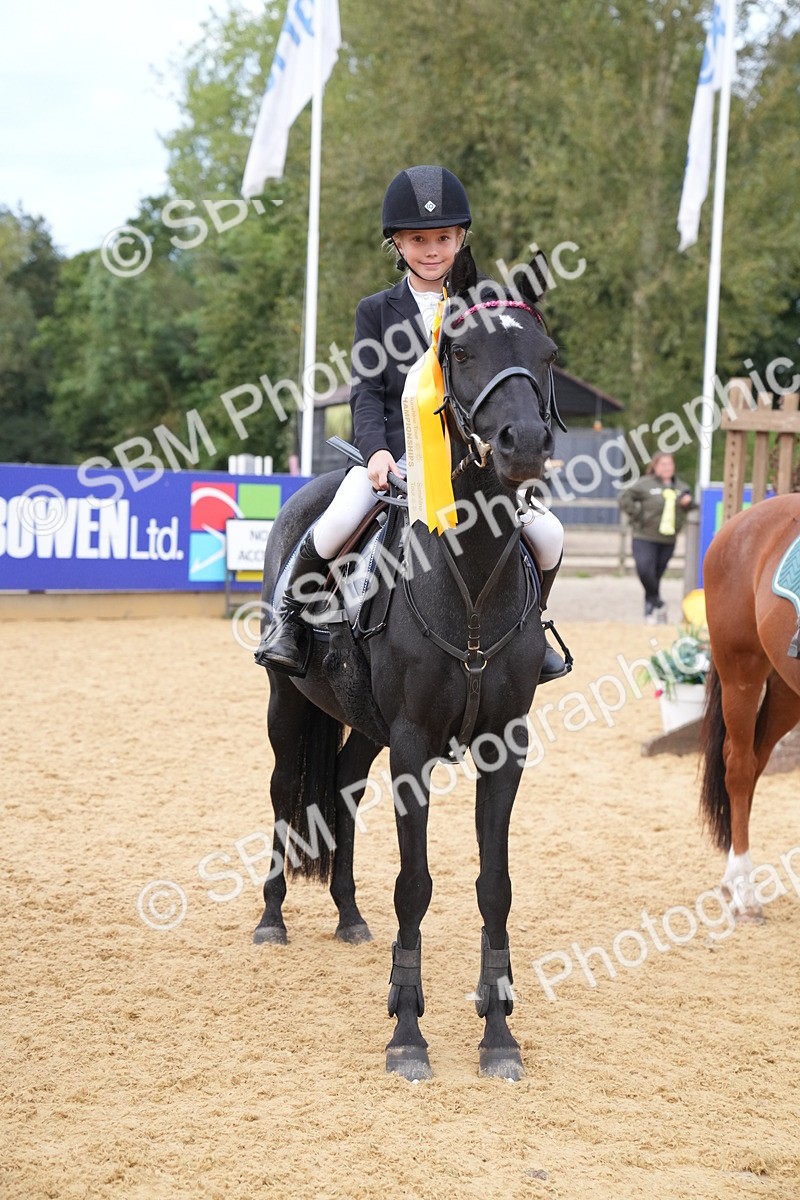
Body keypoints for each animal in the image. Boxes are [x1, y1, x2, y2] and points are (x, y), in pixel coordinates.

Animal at [253, 244, 561, 1081]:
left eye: (546, 355)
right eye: (461, 352)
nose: (525, 444)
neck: (471, 574)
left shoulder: (503, 746)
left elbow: (495, 885)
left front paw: (499, 1035)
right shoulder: (415, 745)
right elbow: (415, 885)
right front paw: (408, 1034)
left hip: (365, 729)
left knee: (342, 791)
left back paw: (349, 916)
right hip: (288, 705)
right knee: (284, 792)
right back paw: (271, 920)